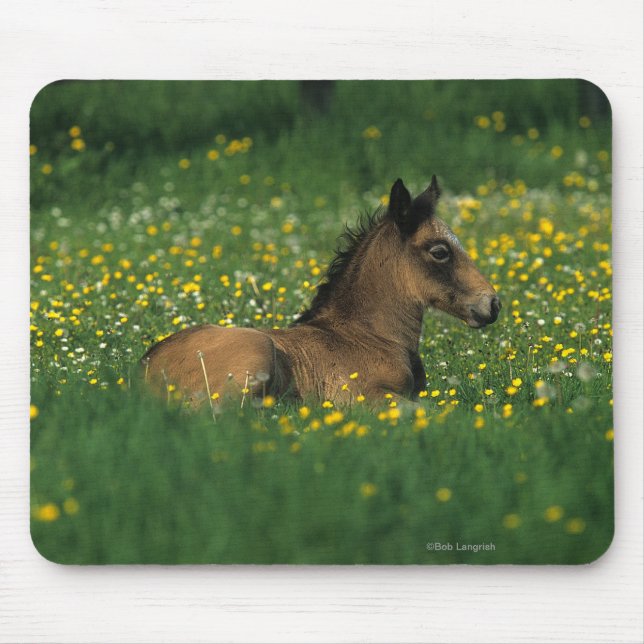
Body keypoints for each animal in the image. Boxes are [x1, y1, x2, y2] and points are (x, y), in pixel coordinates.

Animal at [141, 176, 500, 407]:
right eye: (439, 251)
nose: (492, 303)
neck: (371, 336)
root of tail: (143, 371)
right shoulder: (365, 395)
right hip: (255, 353)